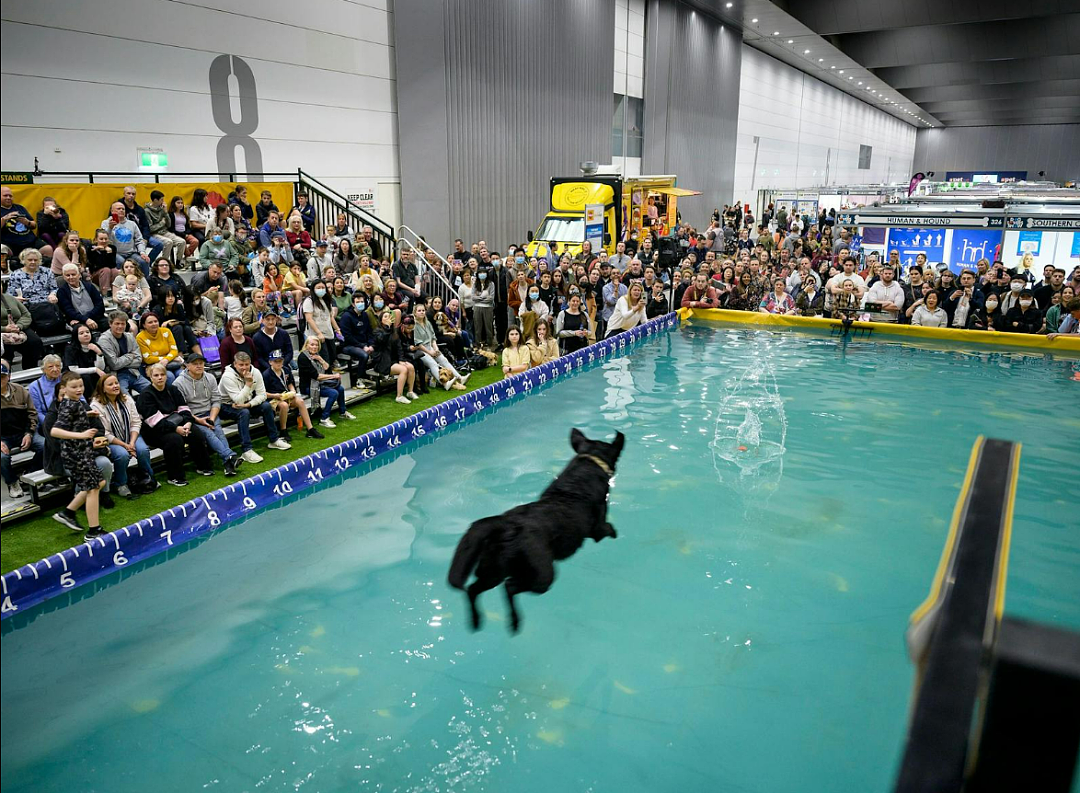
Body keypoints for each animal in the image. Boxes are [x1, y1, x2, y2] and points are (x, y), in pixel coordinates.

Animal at [447, 427, 626, 635]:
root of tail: (507, 524)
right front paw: (615, 534)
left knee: (474, 589)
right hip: (542, 575)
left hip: (492, 571)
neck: (589, 463)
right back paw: (514, 621)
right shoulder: (598, 528)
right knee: (510, 586)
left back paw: (478, 621)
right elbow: (609, 529)